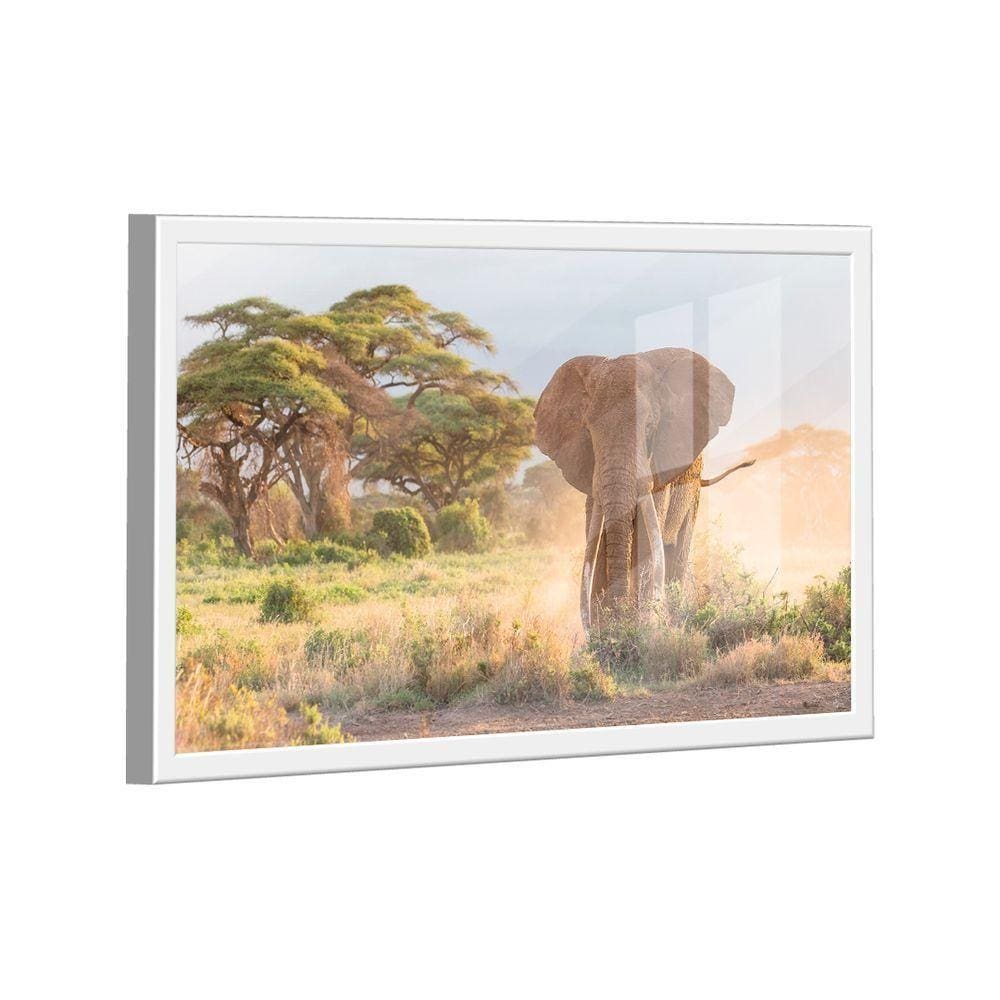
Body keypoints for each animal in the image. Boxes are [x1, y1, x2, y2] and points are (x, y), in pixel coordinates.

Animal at [534, 348, 752, 630]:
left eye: (650, 428)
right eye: (589, 432)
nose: (617, 616)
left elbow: (646, 543)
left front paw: (642, 627)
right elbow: (597, 543)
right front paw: (607, 631)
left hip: (692, 488)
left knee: (677, 550)